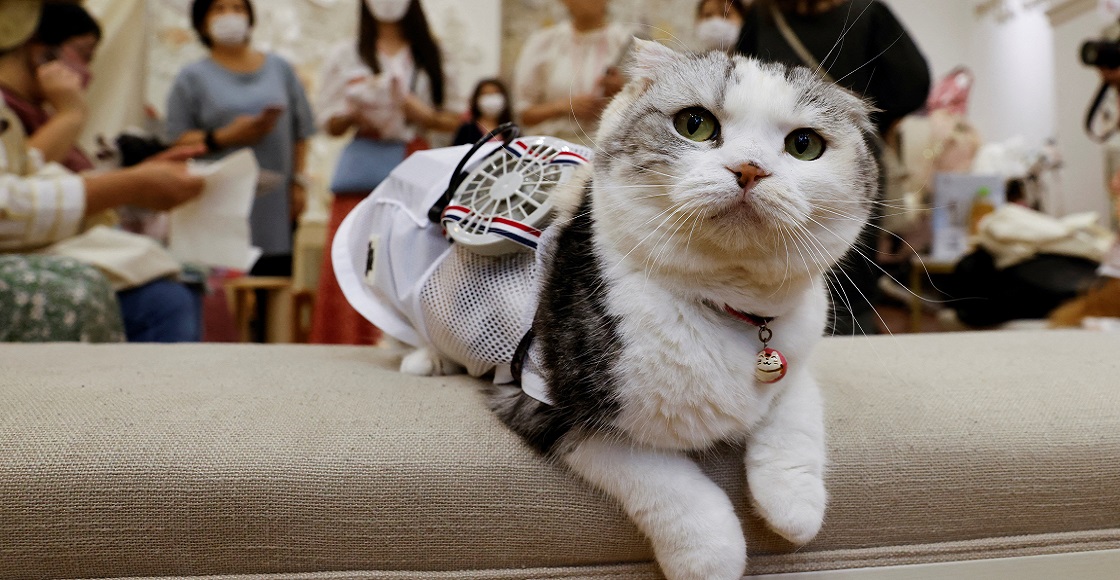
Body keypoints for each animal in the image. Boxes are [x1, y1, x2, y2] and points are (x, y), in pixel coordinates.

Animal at [400, 40, 873, 580]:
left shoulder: (794, 355)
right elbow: (663, 480)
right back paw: (425, 359)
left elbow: (795, 411)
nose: (750, 168)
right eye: (695, 124)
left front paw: (793, 505)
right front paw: (710, 556)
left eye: (804, 144)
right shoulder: (550, 404)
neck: (726, 308)